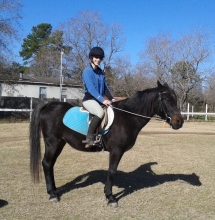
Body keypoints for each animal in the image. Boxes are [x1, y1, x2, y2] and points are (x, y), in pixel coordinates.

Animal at [29, 80, 183, 207]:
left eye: (175, 99)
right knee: (47, 163)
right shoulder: (116, 150)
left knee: (50, 164)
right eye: (166, 100)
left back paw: (54, 191)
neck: (127, 117)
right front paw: (110, 197)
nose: (179, 122)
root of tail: (49, 104)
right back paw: (52, 194)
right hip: (52, 142)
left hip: (60, 143)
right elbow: (112, 171)